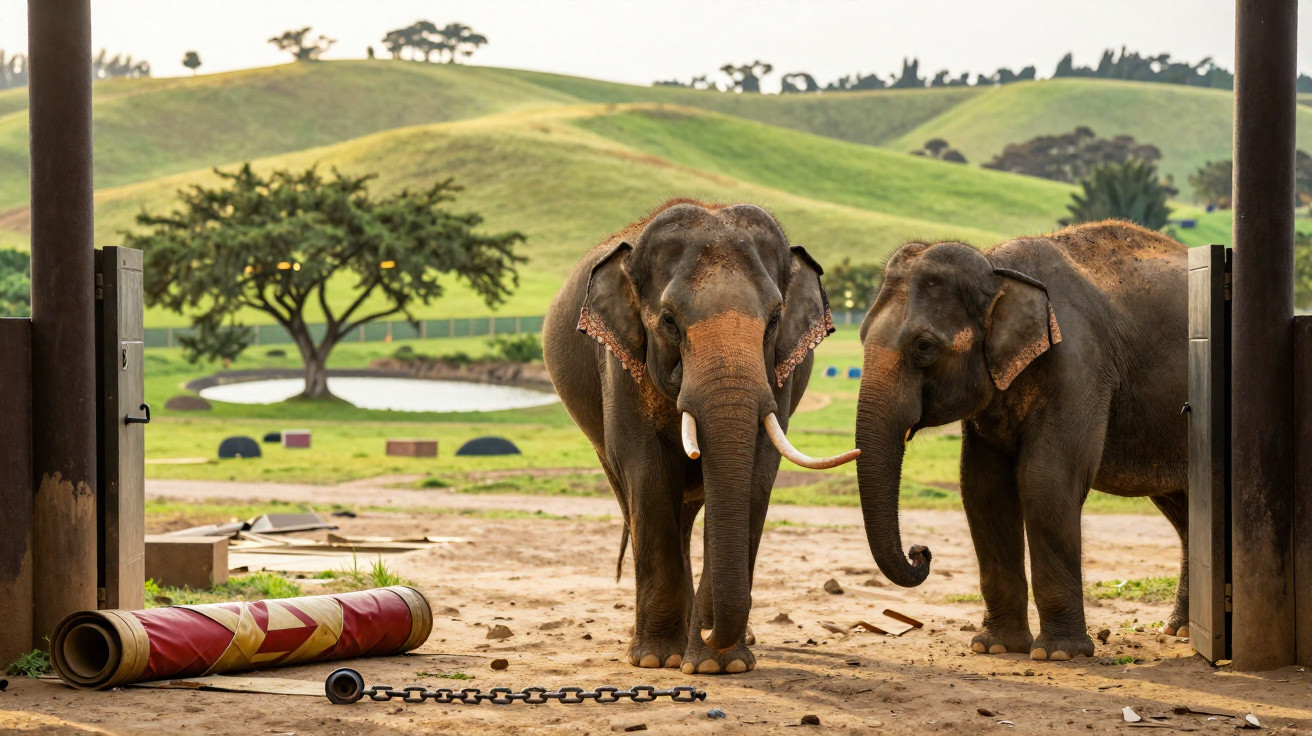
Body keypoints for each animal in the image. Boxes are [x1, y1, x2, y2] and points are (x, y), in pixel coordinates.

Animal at [542, 199, 859, 675]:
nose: (711, 628)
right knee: (638, 501)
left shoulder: (778, 375)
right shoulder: (620, 364)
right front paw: (659, 659)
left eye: (774, 319)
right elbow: (647, 473)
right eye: (670, 321)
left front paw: (719, 663)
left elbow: (757, 473)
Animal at [854, 220, 1188, 661]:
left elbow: (1044, 482)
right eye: (860, 336)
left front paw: (1059, 655)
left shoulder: (1080, 366)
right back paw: (1181, 630)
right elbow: (984, 489)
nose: (920, 552)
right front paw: (994, 646)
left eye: (924, 346)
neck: (999, 271)